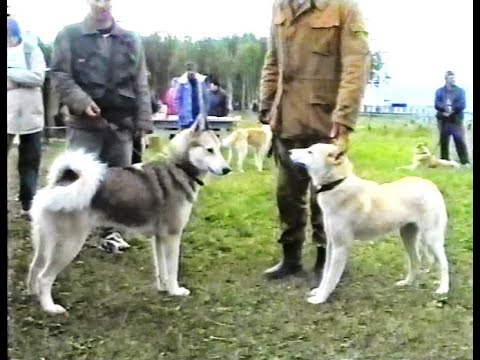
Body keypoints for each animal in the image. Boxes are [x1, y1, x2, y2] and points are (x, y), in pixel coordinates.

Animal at [27, 116, 231, 314]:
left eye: (219, 149)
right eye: (209, 150)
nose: (228, 170)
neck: (180, 168)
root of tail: (61, 183)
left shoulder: (159, 238)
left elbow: (162, 269)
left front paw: (164, 289)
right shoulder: (172, 236)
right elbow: (173, 269)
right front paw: (175, 291)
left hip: (44, 242)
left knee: (34, 269)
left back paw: (33, 295)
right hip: (69, 244)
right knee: (44, 277)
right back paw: (50, 308)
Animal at [288, 142, 450, 306]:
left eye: (310, 152)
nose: (289, 151)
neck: (336, 184)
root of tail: (430, 185)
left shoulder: (341, 246)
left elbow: (331, 277)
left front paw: (320, 298)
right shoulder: (331, 244)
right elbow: (326, 273)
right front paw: (319, 292)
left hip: (431, 238)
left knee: (443, 263)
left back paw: (443, 289)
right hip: (408, 236)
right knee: (415, 261)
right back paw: (407, 283)